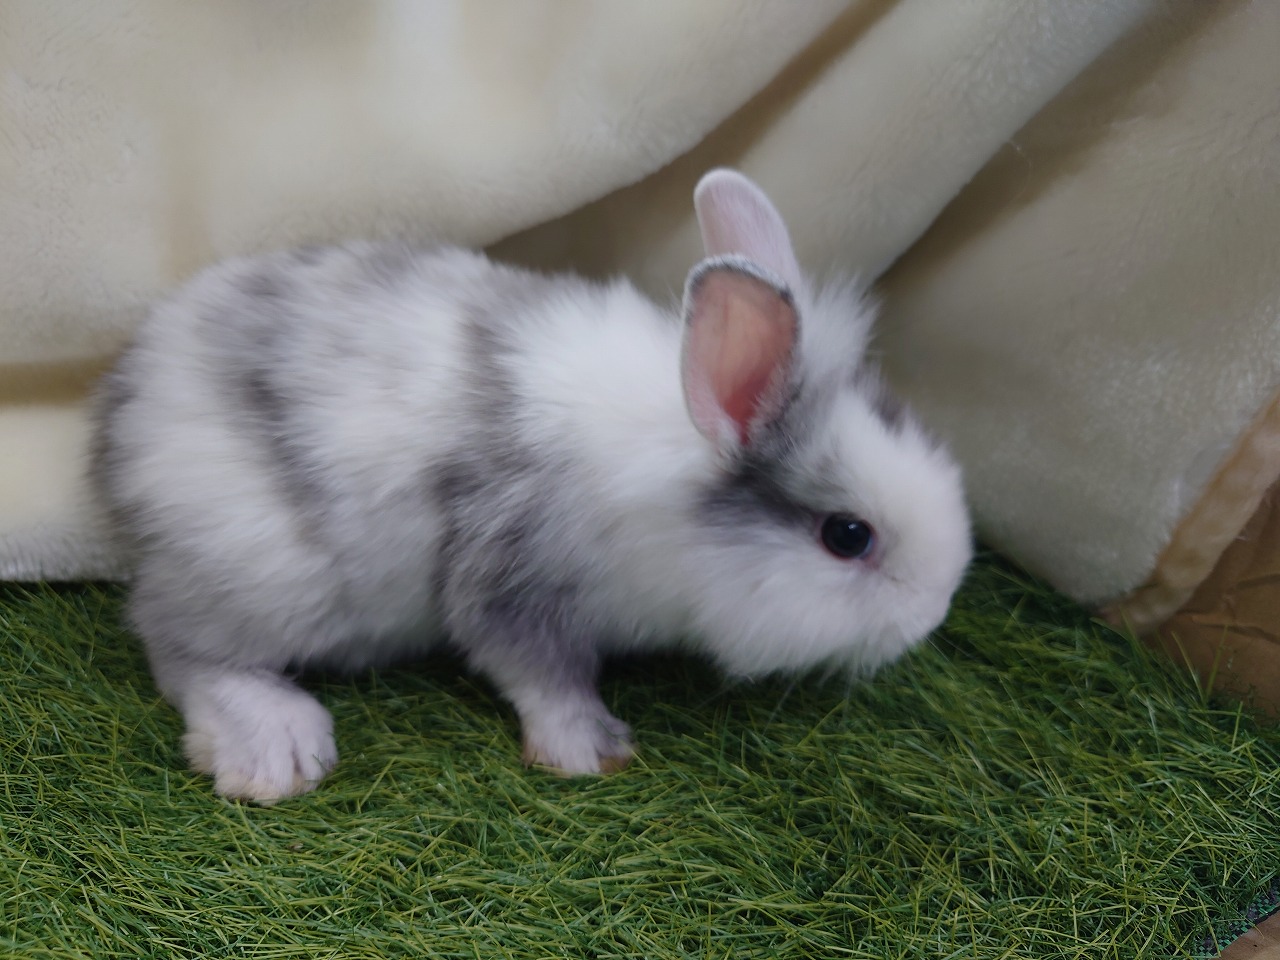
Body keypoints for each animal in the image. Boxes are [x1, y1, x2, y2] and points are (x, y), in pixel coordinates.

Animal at [90, 169, 972, 803]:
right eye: (848, 536)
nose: (934, 613)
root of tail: (116, 429)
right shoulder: (511, 580)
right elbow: (537, 673)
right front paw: (591, 751)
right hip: (264, 570)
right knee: (176, 646)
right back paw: (275, 748)